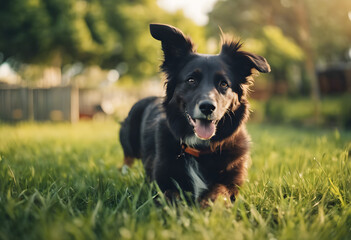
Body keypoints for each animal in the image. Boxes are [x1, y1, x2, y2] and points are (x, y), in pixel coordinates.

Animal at [119, 23, 270, 206]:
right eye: (191, 80)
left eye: (224, 84)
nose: (207, 107)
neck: (200, 148)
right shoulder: (161, 183)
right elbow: (172, 197)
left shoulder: (232, 184)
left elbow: (219, 193)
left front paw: (207, 206)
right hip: (129, 131)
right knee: (127, 158)